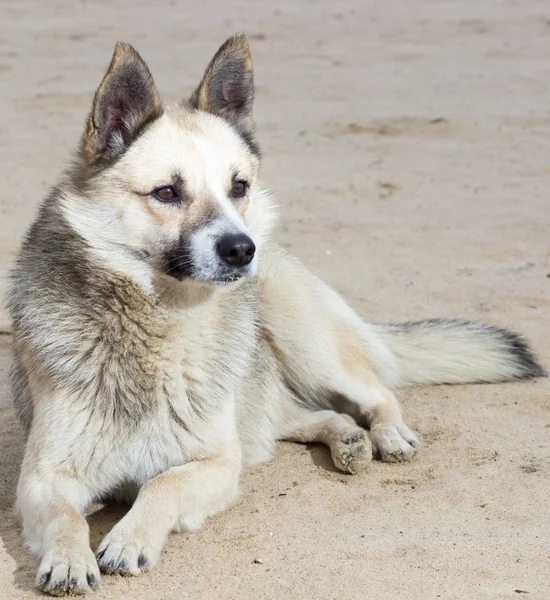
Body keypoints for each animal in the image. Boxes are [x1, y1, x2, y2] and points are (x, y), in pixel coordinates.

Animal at [8, 34, 548, 596]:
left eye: (239, 186)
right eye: (167, 192)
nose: (242, 250)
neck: (159, 325)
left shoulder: (216, 464)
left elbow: (162, 484)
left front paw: (129, 539)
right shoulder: (42, 478)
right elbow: (67, 516)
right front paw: (69, 558)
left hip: (306, 342)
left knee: (375, 392)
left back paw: (386, 433)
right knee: (311, 417)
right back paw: (348, 440)